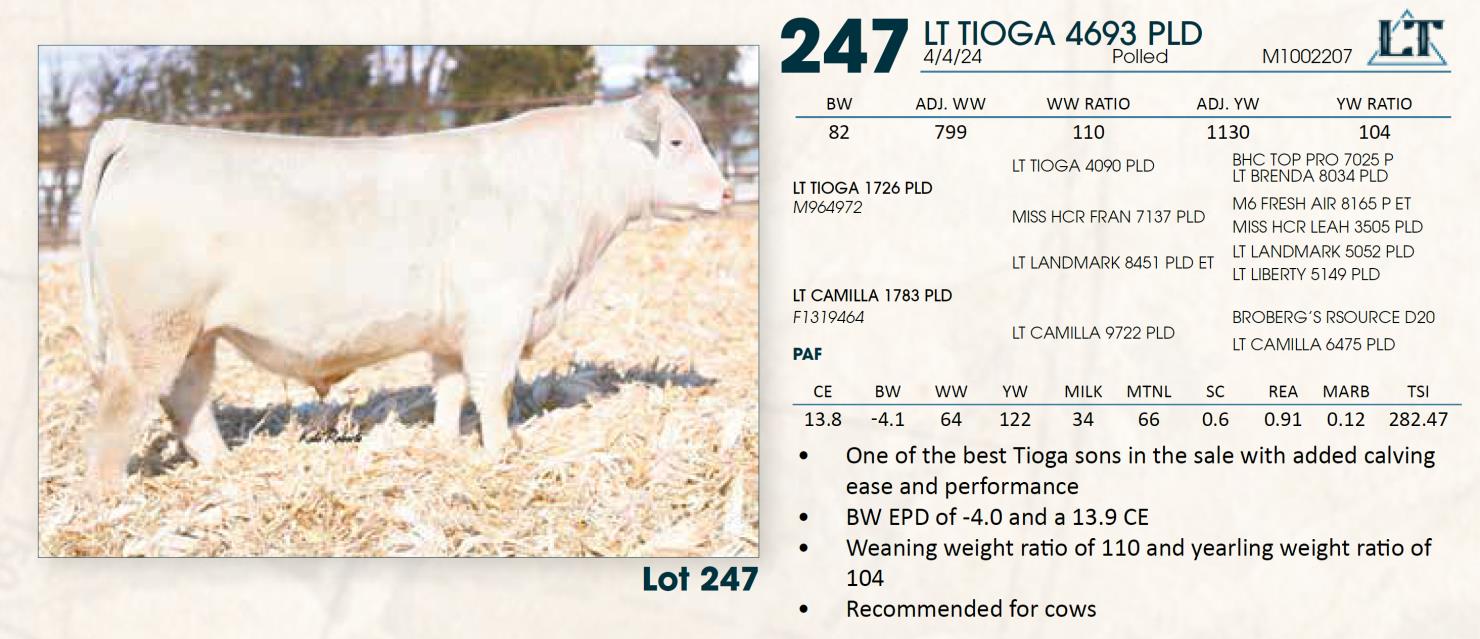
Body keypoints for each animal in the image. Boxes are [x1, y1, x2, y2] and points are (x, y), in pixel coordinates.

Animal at [76, 85, 732, 493]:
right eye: (678, 141)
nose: (727, 192)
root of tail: (140, 132)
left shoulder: (452, 329)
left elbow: (449, 388)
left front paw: (446, 444)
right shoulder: (500, 313)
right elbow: (494, 389)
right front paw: (503, 451)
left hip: (192, 332)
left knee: (185, 398)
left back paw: (222, 467)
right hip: (154, 325)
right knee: (124, 402)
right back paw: (109, 496)